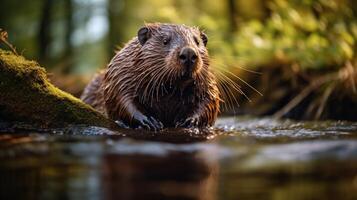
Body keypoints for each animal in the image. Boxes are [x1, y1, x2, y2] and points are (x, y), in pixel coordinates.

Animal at [81, 23, 220, 130]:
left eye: (197, 41)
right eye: (165, 41)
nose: (189, 53)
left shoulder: (207, 81)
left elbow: (209, 100)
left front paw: (188, 121)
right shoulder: (120, 73)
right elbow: (120, 98)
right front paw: (150, 122)